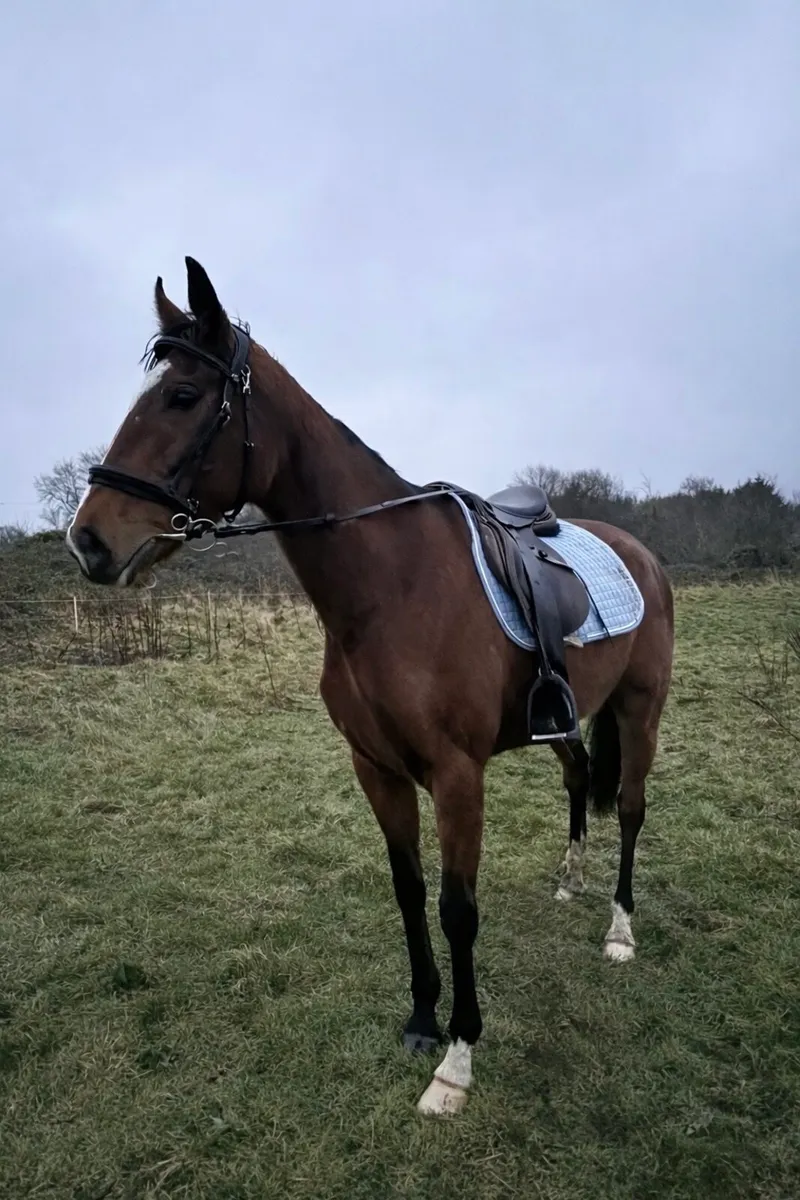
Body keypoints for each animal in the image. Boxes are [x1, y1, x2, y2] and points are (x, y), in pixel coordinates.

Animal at [66, 257, 674, 1116]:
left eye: (183, 396)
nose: (88, 541)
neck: (391, 586)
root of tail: (638, 553)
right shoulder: (376, 769)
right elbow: (408, 890)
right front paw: (422, 1018)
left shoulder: (457, 776)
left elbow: (457, 909)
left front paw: (457, 1059)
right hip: (565, 722)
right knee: (581, 776)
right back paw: (570, 880)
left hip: (641, 707)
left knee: (628, 806)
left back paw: (619, 929)